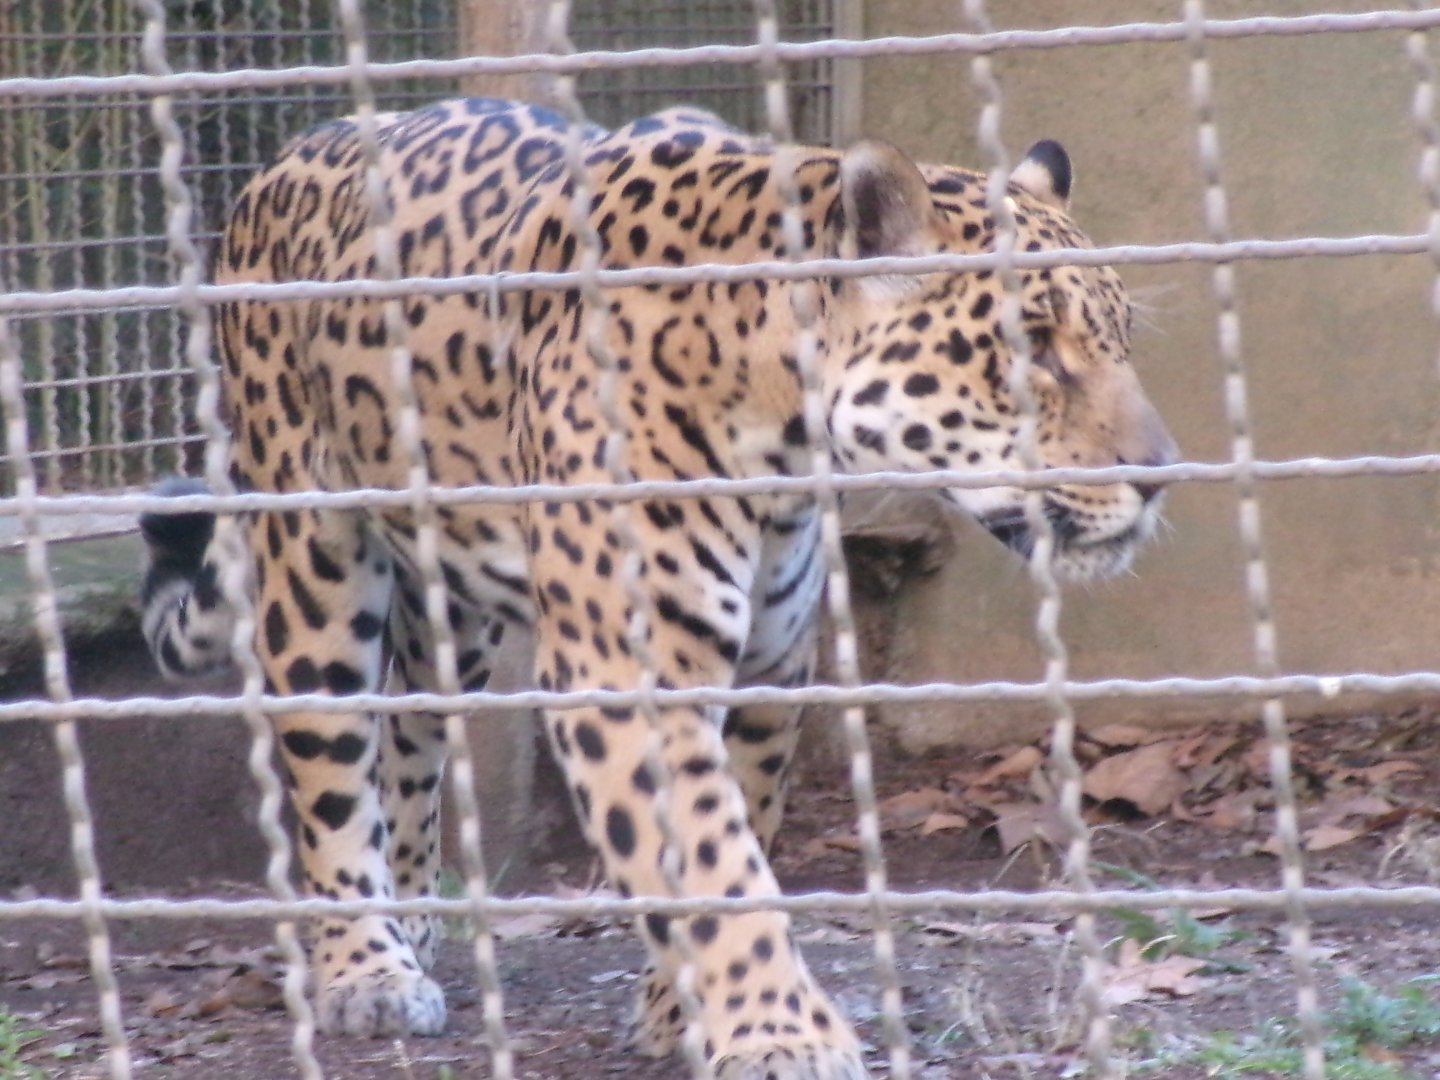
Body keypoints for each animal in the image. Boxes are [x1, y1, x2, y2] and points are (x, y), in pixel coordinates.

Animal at [138, 97, 1178, 1078]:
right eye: (1031, 346)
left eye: (1122, 338)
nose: (1162, 476)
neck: (781, 431)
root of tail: (285, 155)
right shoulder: (626, 671)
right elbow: (716, 861)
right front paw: (777, 1033)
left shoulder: (768, 669)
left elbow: (736, 828)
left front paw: (681, 1011)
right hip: (312, 559)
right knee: (330, 766)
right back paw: (366, 966)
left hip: (452, 610)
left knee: (412, 738)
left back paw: (416, 917)